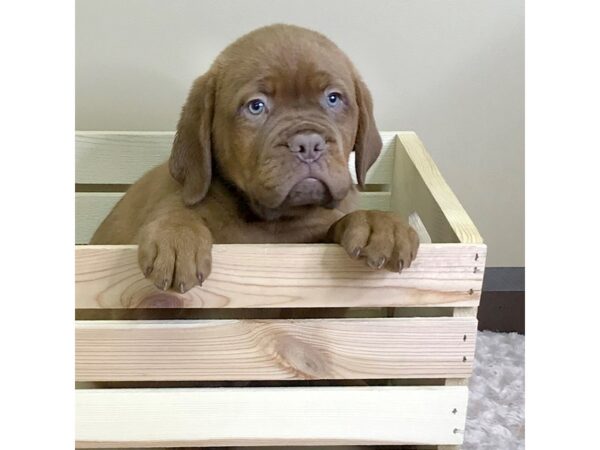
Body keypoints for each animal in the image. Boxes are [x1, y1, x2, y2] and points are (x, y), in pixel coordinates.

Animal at [92, 24, 418, 294]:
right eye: (256, 106)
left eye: (333, 98)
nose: (308, 144)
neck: (268, 221)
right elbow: (177, 213)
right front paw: (177, 237)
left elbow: (338, 221)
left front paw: (379, 224)